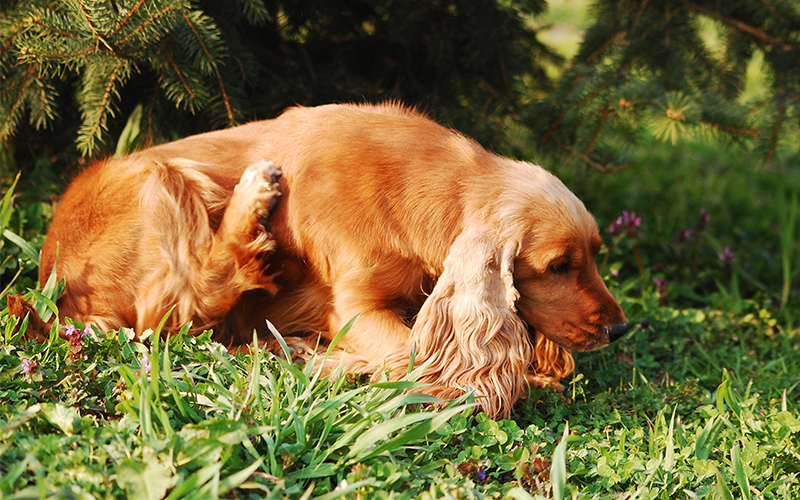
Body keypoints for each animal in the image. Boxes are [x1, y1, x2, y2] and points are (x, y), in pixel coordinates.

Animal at [31, 102, 628, 418]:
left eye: (595, 256)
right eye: (558, 266)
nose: (620, 328)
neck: (432, 189)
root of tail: (52, 283)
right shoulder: (353, 305)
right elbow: (415, 359)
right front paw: (325, 361)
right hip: (160, 179)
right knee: (180, 306)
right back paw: (254, 198)